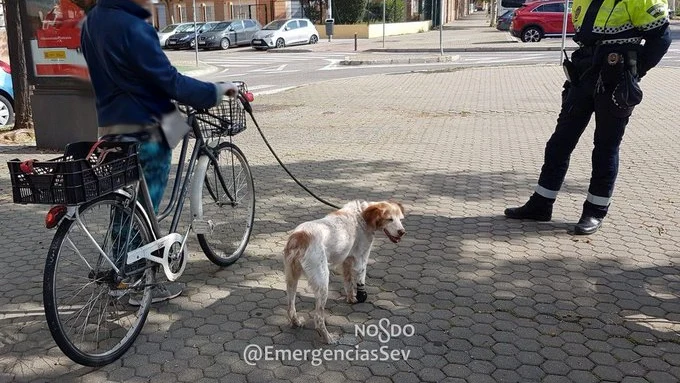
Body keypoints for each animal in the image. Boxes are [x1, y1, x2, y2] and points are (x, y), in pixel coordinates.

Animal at [282, 201, 404, 344]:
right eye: (390, 219)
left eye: (400, 219)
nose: (402, 232)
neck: (362, 215)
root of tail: (299, 236)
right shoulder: (361, 259)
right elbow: (360, 281)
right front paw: (361, 297)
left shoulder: (347, 260)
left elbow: (348, 283)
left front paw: (351, 299)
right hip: (322, 282)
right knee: (318, 318)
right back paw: (328, 338)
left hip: (291, 279)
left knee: (290, 307)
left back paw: (296, 322)